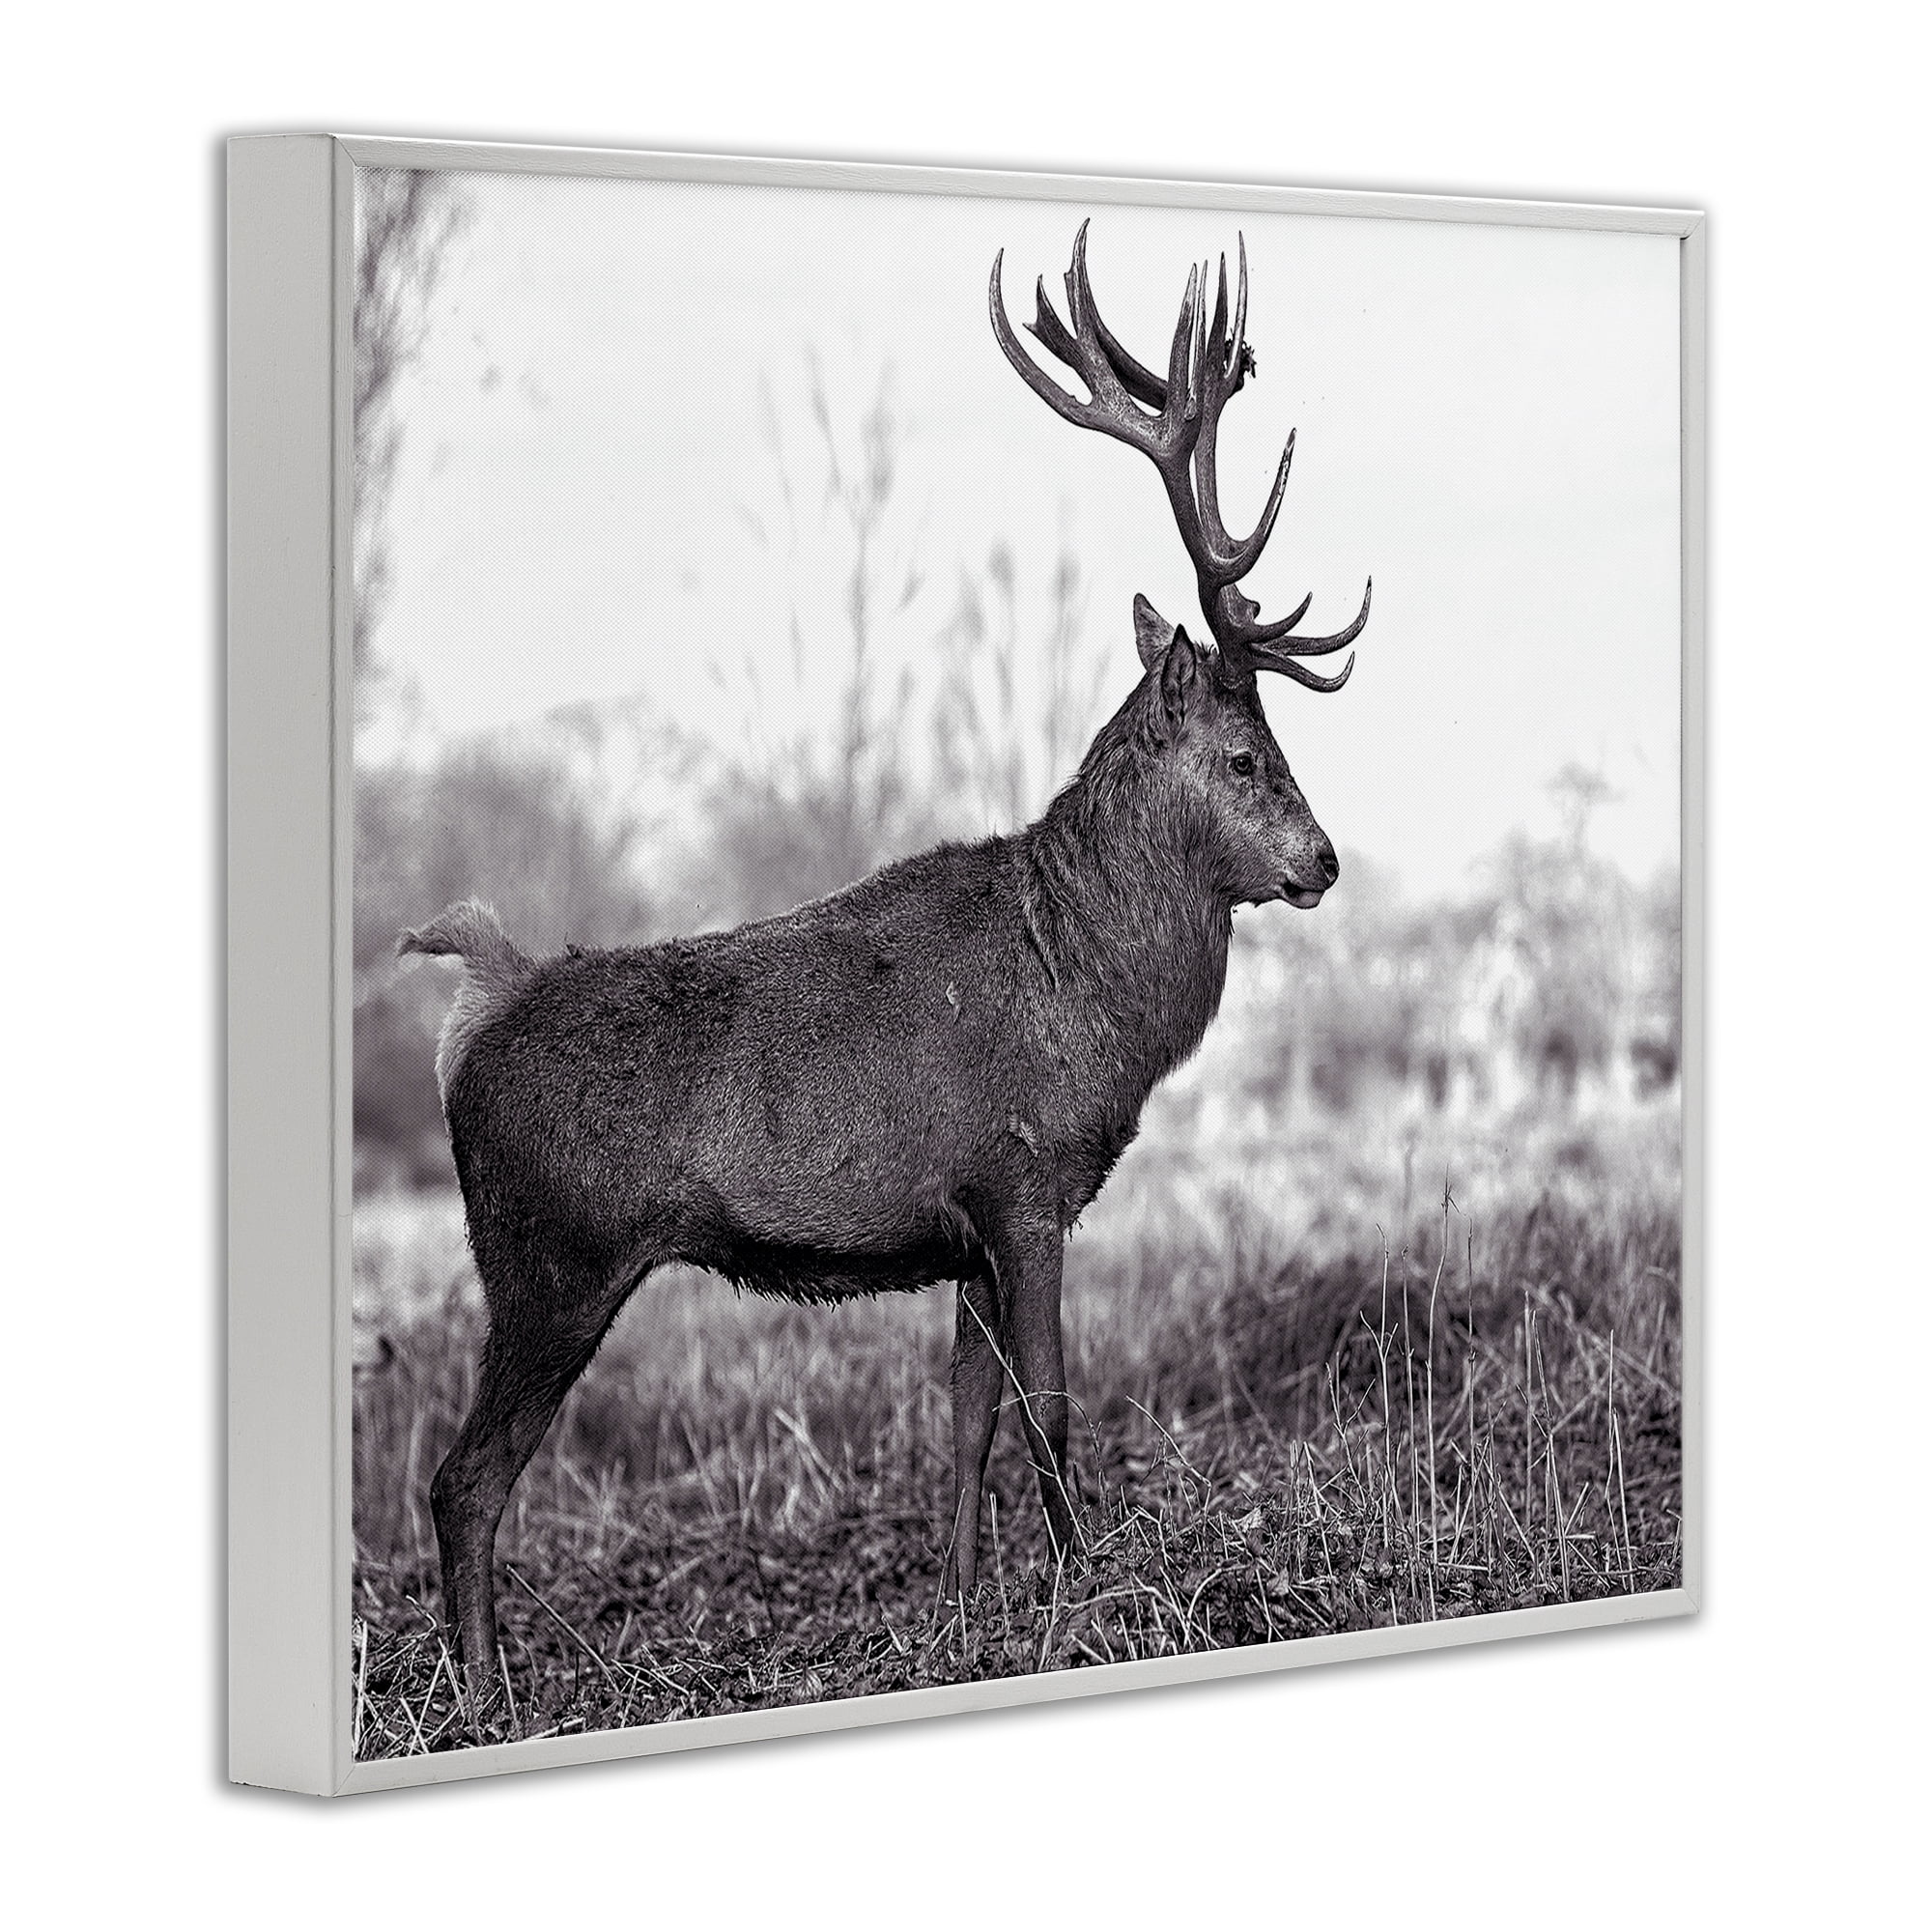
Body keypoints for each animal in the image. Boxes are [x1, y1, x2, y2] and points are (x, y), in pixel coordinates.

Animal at [399, 221, 1370, 1718]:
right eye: (1244, 756)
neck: (1089, 996)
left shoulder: (964, 1222)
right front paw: (1091, 1593)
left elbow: (963, 1414)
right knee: (462, 1480)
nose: (1322, 861)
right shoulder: (1025, 1183)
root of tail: (473, 1008)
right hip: (547, 1256)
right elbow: (1049, 1406)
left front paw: (964, 1609)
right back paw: (487, 1700)